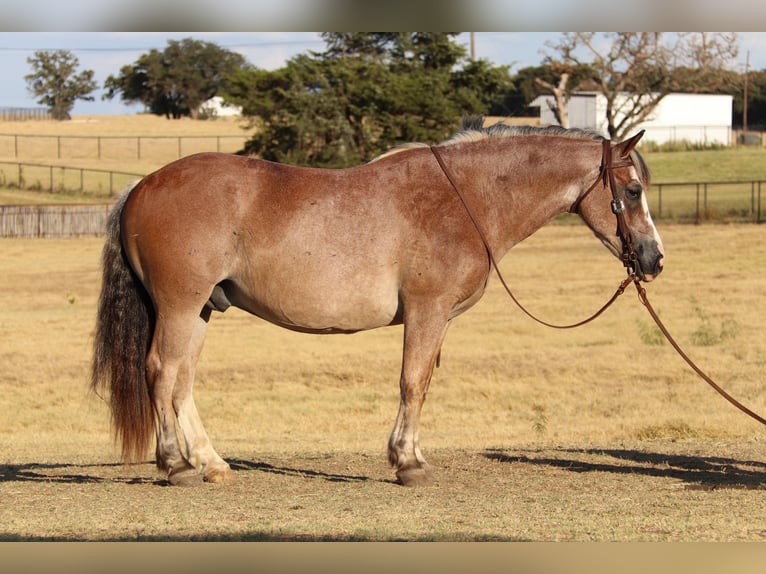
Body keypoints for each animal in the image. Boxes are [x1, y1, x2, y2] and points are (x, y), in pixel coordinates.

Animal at [91, 119, 664, 488]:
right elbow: (413, 383)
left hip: (201, 310)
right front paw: (407, 463)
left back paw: (210, 462)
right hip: (179, 307)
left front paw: (412, 454)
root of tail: (143, 185)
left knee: (182, 381)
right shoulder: (427, 312)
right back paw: (175, 465)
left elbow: (422, 384)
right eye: (634, 190)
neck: (465, 199)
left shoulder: (437, 320)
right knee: (162, 371)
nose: (654, 259)